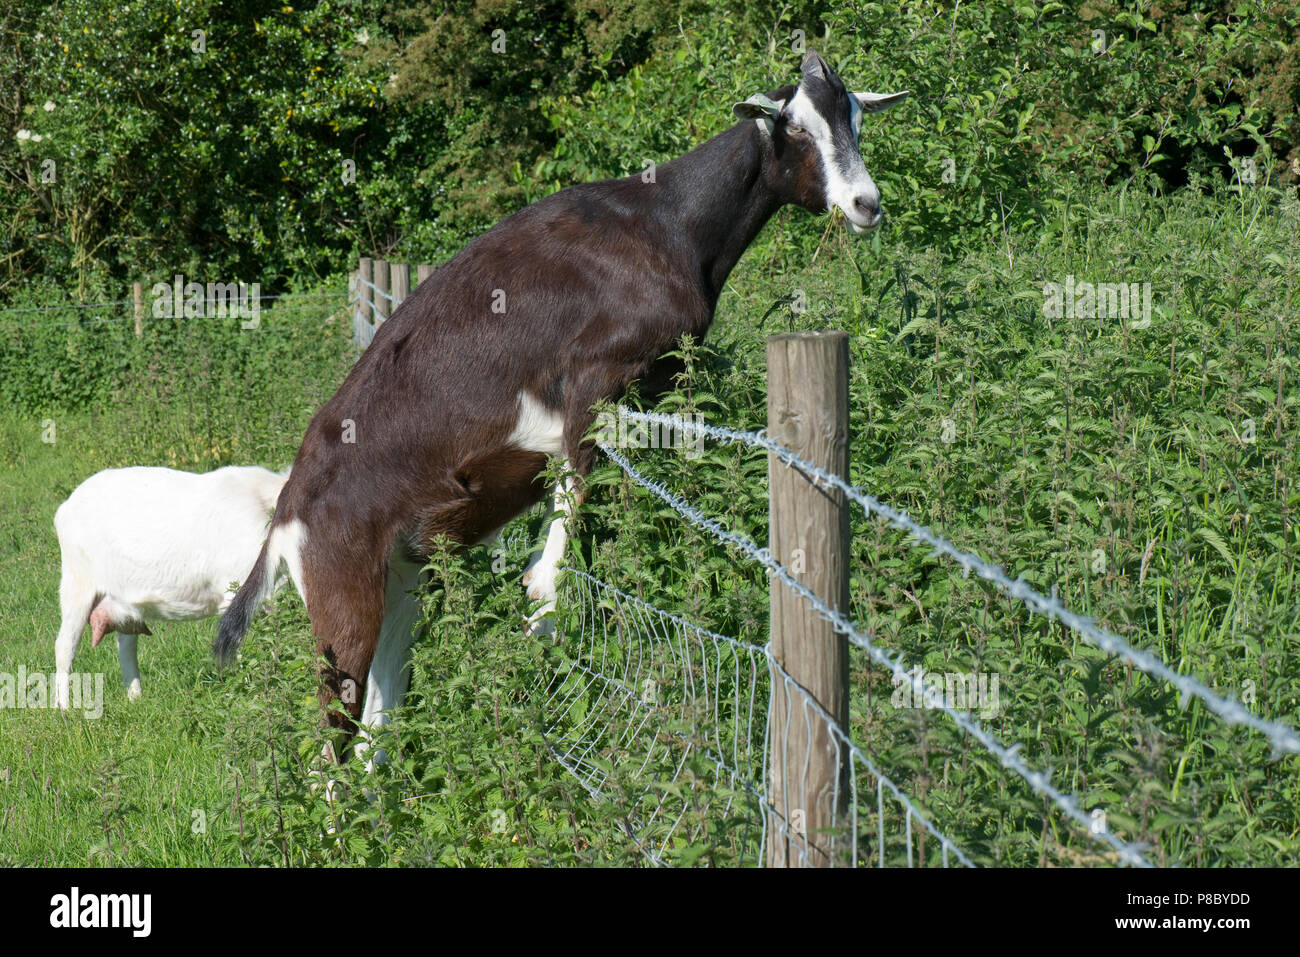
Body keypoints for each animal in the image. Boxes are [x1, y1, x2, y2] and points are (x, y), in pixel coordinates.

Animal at [54, 464, 287, 708]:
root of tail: (65, 507)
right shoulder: (237, 593)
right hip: (77, 581)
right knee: (64, 646)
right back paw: (64, 707)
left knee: (126, 644)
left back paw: (135, 698)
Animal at [215, 50, 907, 754]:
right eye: (795, 125)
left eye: (856, 117)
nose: (866, 203)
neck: (668, 224)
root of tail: (286, 519)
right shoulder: (591, 380)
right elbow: (573, 490)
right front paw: (543, 602)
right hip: (342, 597)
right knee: (331, 741)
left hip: (400, 580)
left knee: (375, 728)